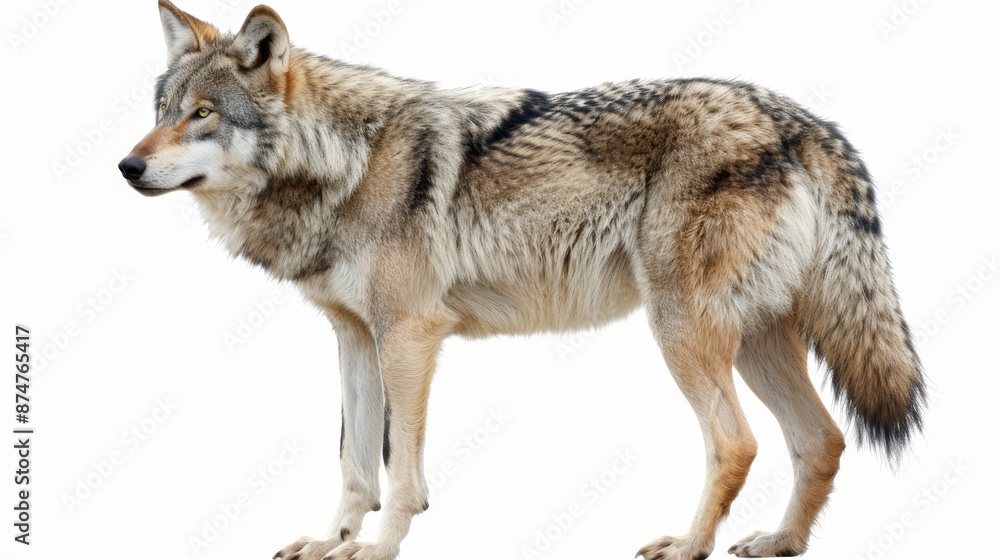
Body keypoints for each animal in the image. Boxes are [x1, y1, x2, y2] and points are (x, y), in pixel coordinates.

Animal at [119, 2, 926, 559]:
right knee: (821, 439)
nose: (127, 166)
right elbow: (355, 464)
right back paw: (780, 543)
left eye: (202, 115)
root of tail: (798, 118)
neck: (346, 164)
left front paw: (376, 549)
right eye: (160, 111)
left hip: (681, 330)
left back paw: (687, 546)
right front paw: (332, 543)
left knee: (737, 445)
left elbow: (401, 474)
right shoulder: (354, 336)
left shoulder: (410, 333)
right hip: (753, 339)